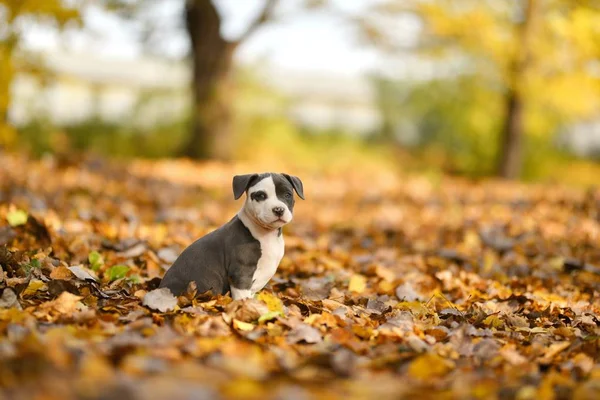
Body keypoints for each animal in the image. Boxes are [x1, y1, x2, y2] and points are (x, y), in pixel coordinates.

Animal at [159, 172, 304, 300]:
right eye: (261, 195)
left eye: (287, 194)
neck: (266, 233)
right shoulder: (241, 273)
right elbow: (242, 296)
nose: (278, 209)